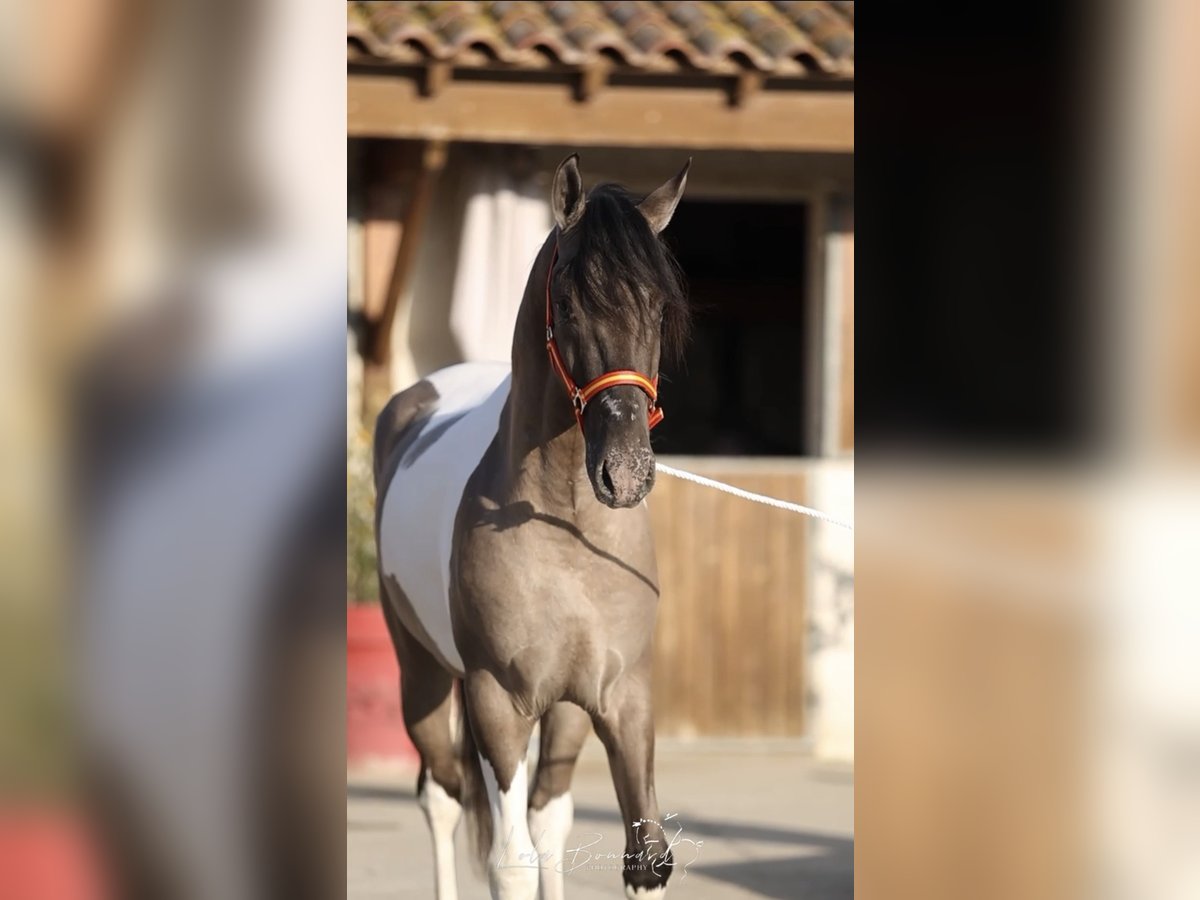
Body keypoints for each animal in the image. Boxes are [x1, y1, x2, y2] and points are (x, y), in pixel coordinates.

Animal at [374, 154, 692, 900]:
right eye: (569, 305)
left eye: (658, 308)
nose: (626, 473)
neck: (566, 529)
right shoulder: (499, 701)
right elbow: (508, 861)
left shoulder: (621, 700)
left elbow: (645, 858)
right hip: (423, 677)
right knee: (442, 797)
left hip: (566, 712)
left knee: (550, 816)